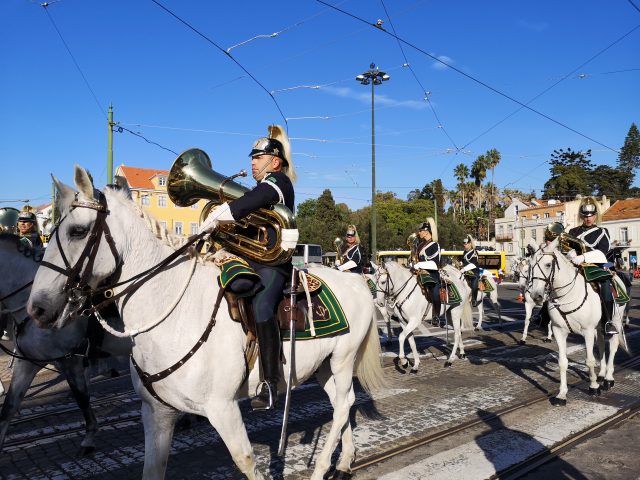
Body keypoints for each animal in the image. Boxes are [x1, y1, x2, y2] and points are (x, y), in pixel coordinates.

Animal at [26, 166, 384, 480]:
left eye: (77, 231)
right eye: (51, 232)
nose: (37, 309)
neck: (171, 313)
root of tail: (356, 281)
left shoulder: (223, 409)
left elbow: (245, 460)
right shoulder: (156, 413)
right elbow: (152, 470)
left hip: (342, 360)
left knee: (343, 406)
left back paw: (323, 467)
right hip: (322, 366)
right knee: (342, 404)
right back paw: (344, 462)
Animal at [528, 238, 628, 406]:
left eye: (548, 264)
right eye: (530, 266)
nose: (536, 296)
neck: (567, 296)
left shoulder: (587, 331)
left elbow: (589, 360)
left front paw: (593, 387)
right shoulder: (559, 331)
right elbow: (562, 362)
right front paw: (562, 394)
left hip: (615, 321)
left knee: (613, 346)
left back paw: (608, 378)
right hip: (599, 326)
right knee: (601, 345)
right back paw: (601, 374)